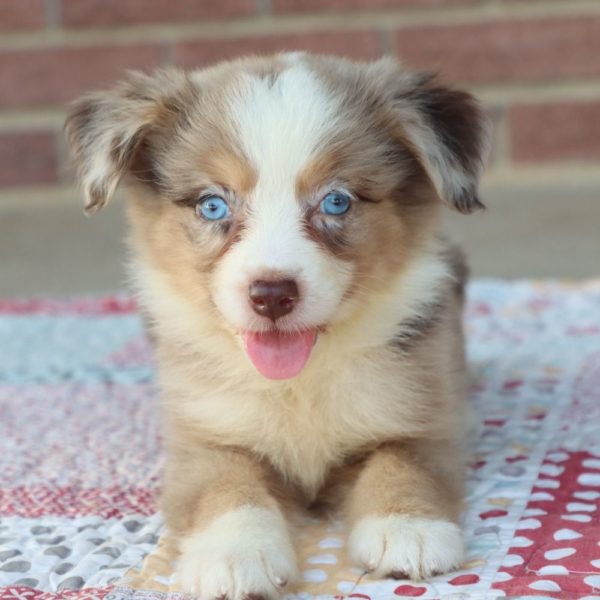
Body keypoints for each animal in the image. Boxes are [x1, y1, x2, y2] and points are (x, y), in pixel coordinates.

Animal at [65, 52, 490, 600]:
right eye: (212, 204)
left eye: (336, 201)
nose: (271, 295)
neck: (298, 382)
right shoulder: (203, 438)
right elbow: (228, 485)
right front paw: (236, 553)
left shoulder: (421, 413)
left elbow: (402, 461)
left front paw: (407, 528)